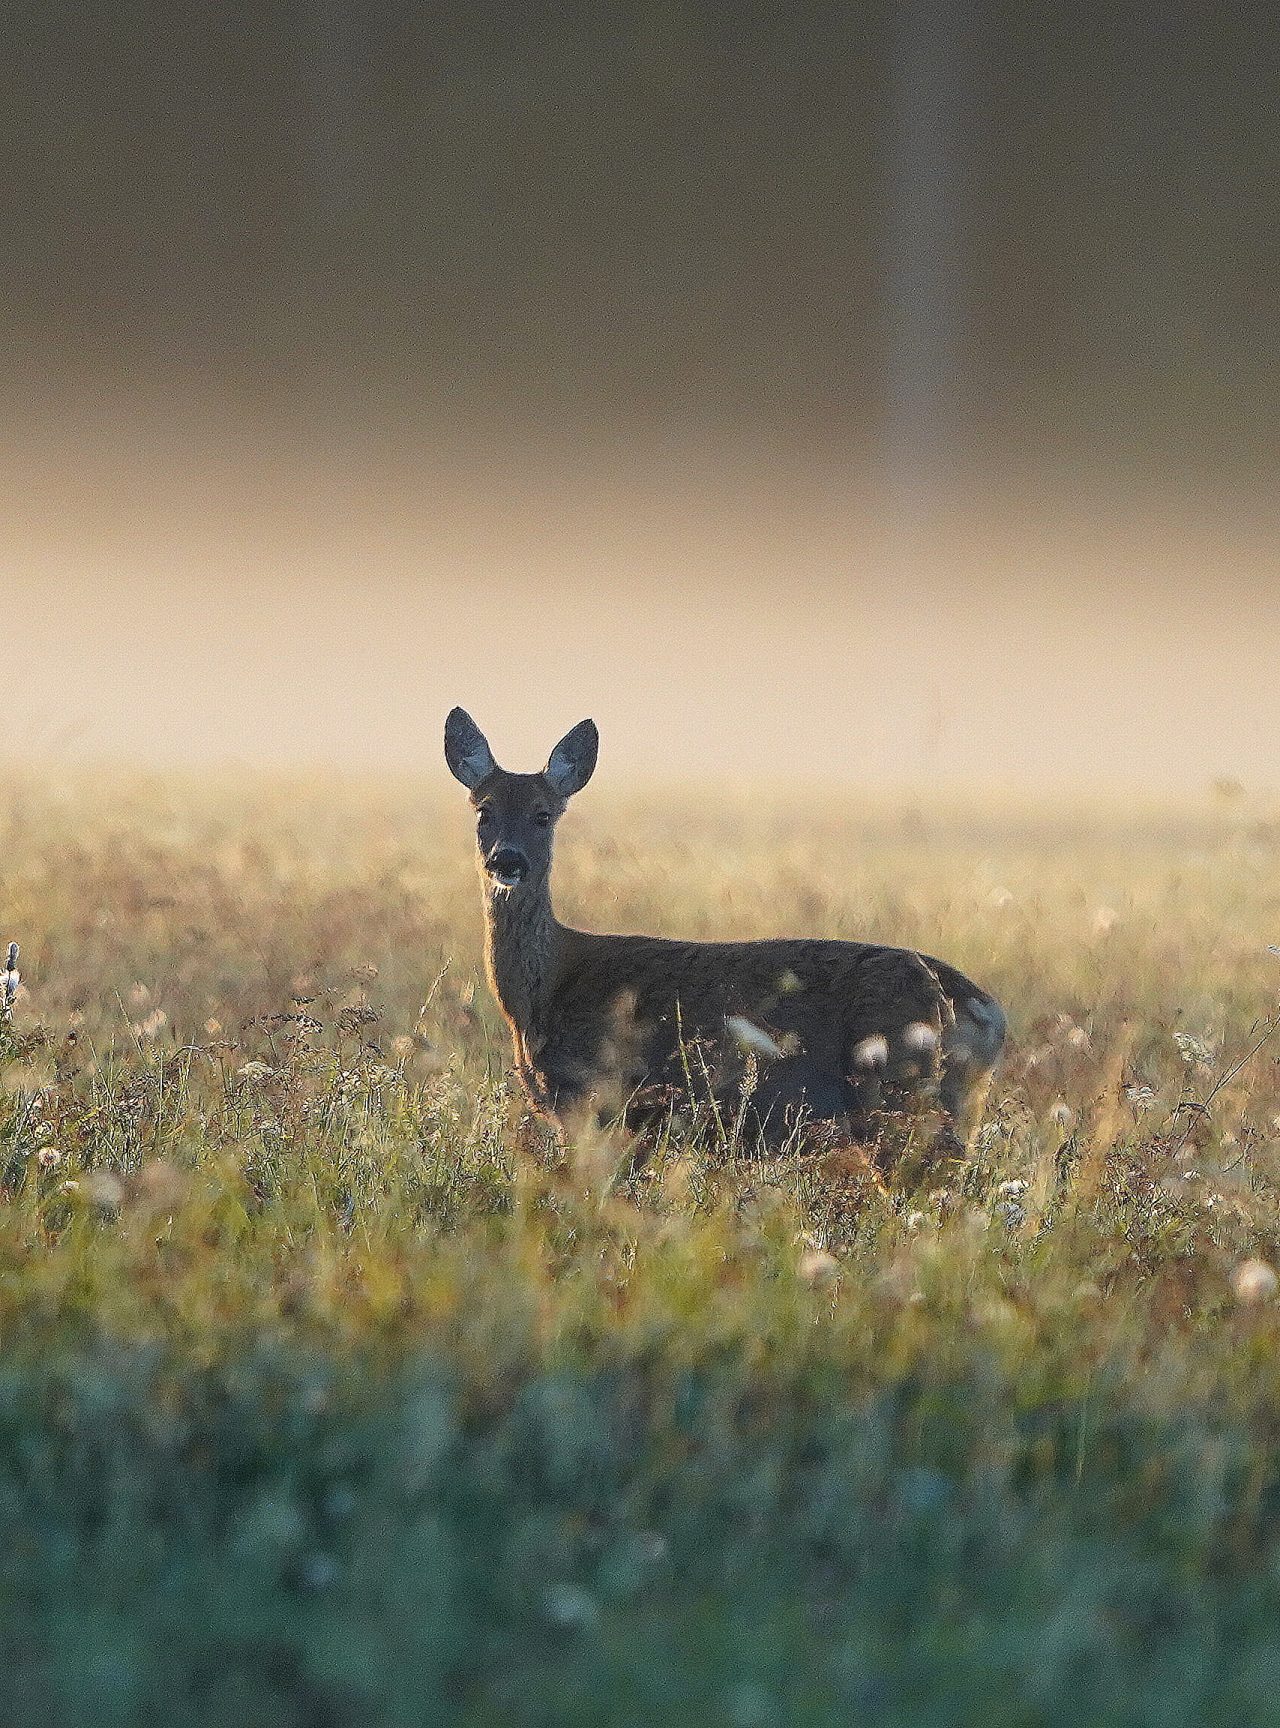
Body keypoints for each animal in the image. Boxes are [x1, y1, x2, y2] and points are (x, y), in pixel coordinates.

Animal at [445, 708, 1001, 1168]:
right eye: (483, 811)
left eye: (544, 814)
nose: (507, 860)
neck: (543, 994)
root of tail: (984, 1009)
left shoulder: (597, 1103)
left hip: (896, 1093)